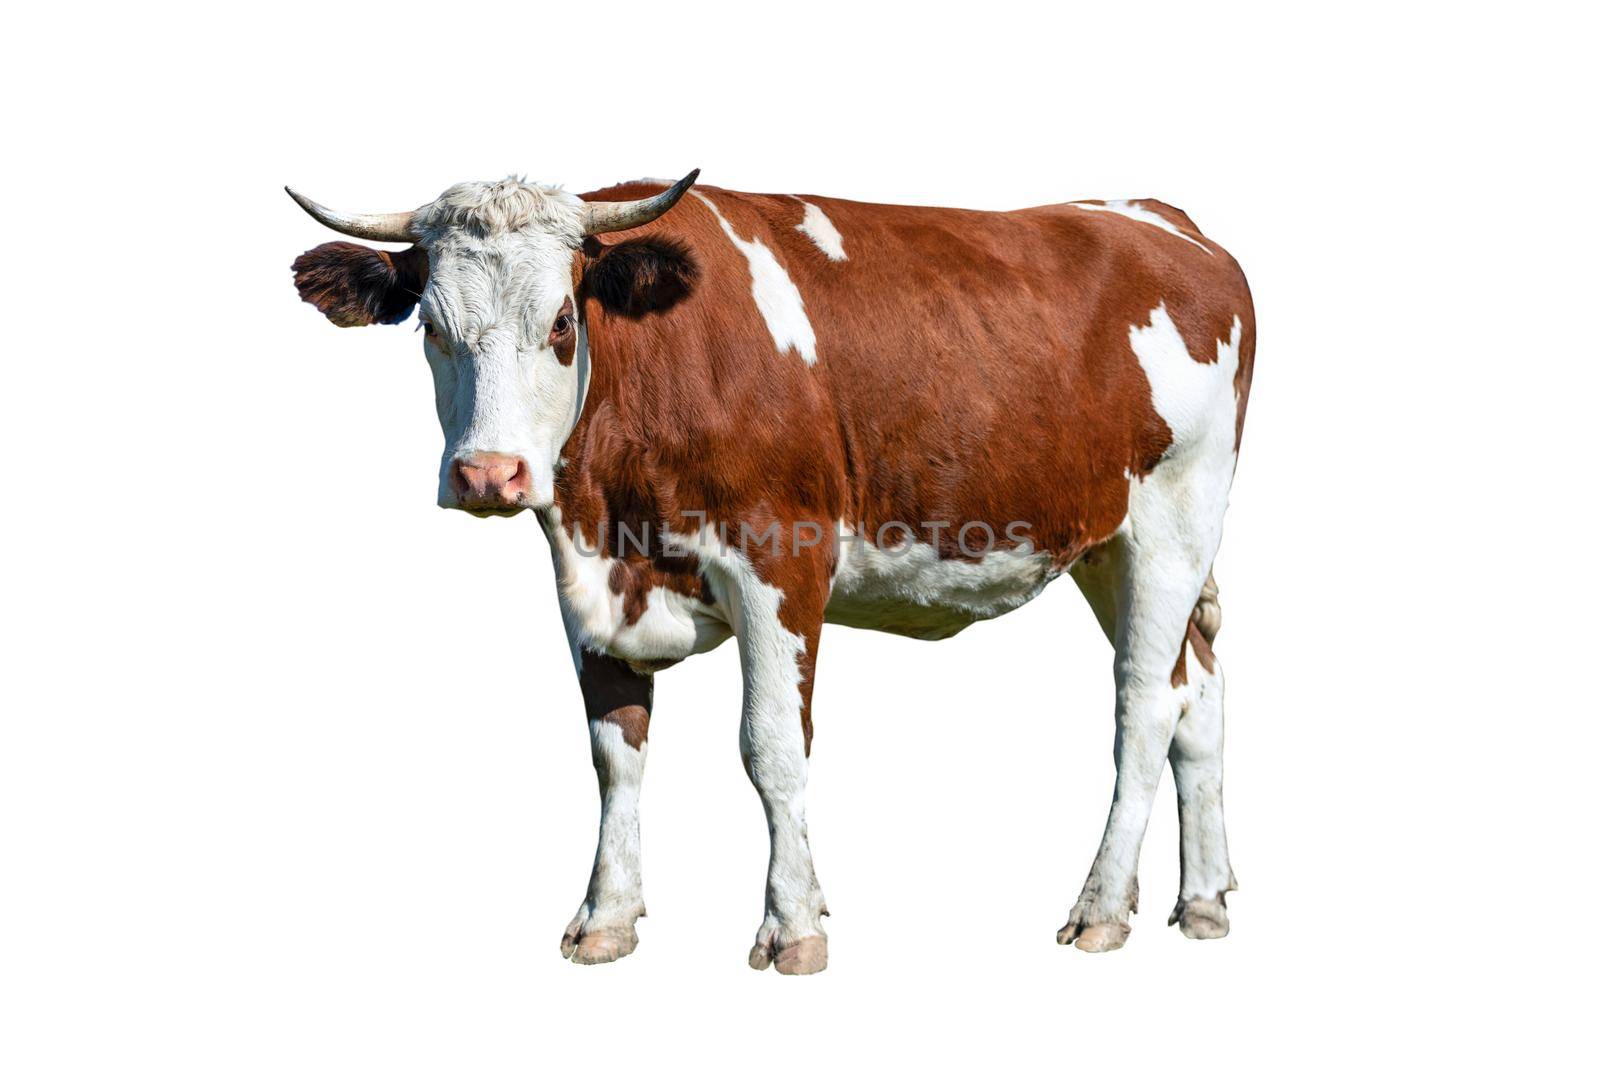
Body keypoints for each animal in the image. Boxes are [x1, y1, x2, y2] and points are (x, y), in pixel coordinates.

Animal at [291, 168, 1260, 978]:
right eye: (431, 327)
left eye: (562, 324)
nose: (489, 475)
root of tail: (1160, 218)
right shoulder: (589, 580)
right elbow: (615, 752)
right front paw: (607, 918)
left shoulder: (782, 558)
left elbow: (772, 748)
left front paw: (793, 925)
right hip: (1105, 544)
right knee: (1200, 690)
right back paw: (1204, 900)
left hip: (1173, 518)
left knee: (1145, 706)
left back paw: (1101, 909)